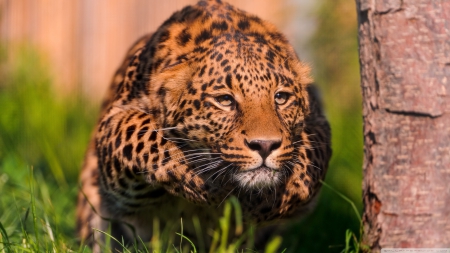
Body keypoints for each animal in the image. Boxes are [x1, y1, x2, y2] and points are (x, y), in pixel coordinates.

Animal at [76, 0, 330, 249]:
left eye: (281, 98)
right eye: (225, 100)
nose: (265, 145)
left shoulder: (319, 123)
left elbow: (308, 163)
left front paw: (268, 198)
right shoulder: (113, 123)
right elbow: (142, 131)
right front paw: (204, 183)